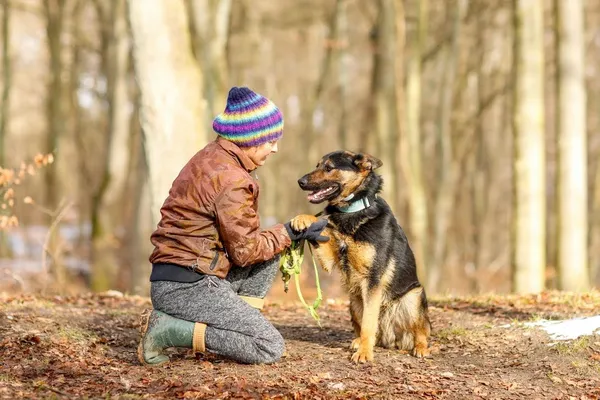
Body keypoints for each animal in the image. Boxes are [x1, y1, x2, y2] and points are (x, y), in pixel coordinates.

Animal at [290, 150, 432, 362]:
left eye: (329, 168)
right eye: (317, 165)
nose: (300, 181)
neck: (353, 209)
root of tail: (391, 338)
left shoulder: (372, 279)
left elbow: (368, 322)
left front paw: (365, 352)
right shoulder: (328, 259)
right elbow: (322, 225)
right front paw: (303, 218)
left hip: (413, 297)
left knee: (422, 330)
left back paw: (420, 348)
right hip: (354, 300)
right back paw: (358, 341)